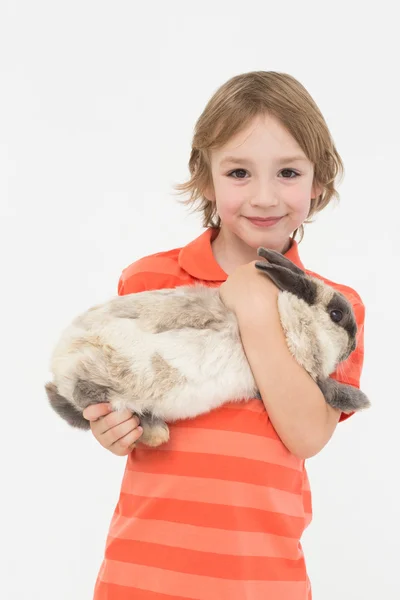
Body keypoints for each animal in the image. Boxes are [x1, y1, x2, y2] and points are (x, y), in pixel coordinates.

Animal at [45, 246, 370, 448]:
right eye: (336, 314)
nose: (355, 344)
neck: (286, 321)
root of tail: (58, 362)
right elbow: (326, 387)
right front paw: (360, 399)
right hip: (110, 372)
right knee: (86, 396)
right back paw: (155, 432)